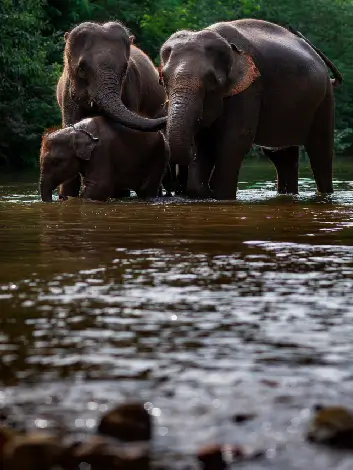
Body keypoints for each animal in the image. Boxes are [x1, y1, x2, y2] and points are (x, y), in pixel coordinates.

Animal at [39, 116, 168, 201]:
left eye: (56, 162)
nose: (60, 198)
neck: (76, 130)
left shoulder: (101, 151)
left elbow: (100, 186)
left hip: (158, 156)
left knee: (146, 189)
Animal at [157, 19, 340, 199]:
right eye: (163, 79)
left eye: (211, 80)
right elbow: (204, 142)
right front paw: (203, 191)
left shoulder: (250, 88)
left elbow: (235, 139)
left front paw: (220, 196)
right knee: (283, 157)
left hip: (325, 99)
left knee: (320, 151)